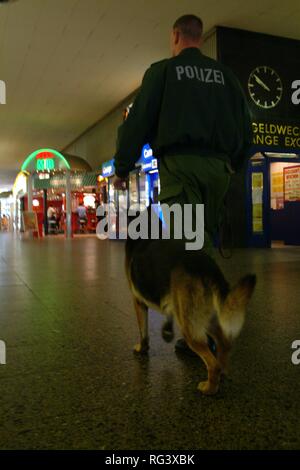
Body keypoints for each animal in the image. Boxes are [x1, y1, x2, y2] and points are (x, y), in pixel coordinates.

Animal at [124, 207, 255, 394]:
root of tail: (207, 267)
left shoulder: (138, 302)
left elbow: (143, 332)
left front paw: (142, 349)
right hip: (204, 318)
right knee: (223, 343)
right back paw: (221, 375)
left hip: (189, 324)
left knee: (212, 362)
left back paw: (209, 388)